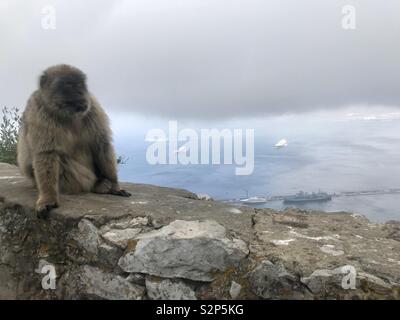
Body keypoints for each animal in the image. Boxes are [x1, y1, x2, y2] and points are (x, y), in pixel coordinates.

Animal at [17, 63, 131, 219]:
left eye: (81, 85)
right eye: (68, 85)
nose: (80, 93)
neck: (68, 115)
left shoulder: (92, 106)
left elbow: (101, 144)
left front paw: (115, 185)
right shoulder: (39, 111)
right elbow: (47, 153)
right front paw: (48, 198)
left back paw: (103, 183)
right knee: (61, 160)